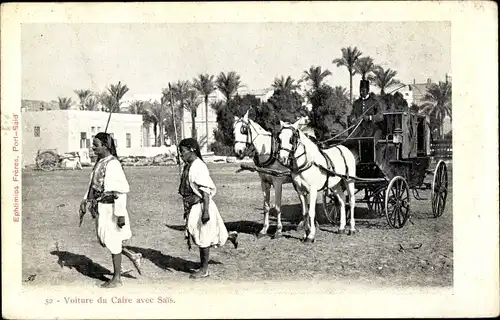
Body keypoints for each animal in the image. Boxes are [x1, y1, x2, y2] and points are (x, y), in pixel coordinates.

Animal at [234, 110, 300, 238]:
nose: (238, 152)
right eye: (233, 131)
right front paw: (264, 229)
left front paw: (278, 230)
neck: (269, 152)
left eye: (243, 130)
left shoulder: (277, 182)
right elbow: (266, 206)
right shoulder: (264, 182)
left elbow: (277, 206)